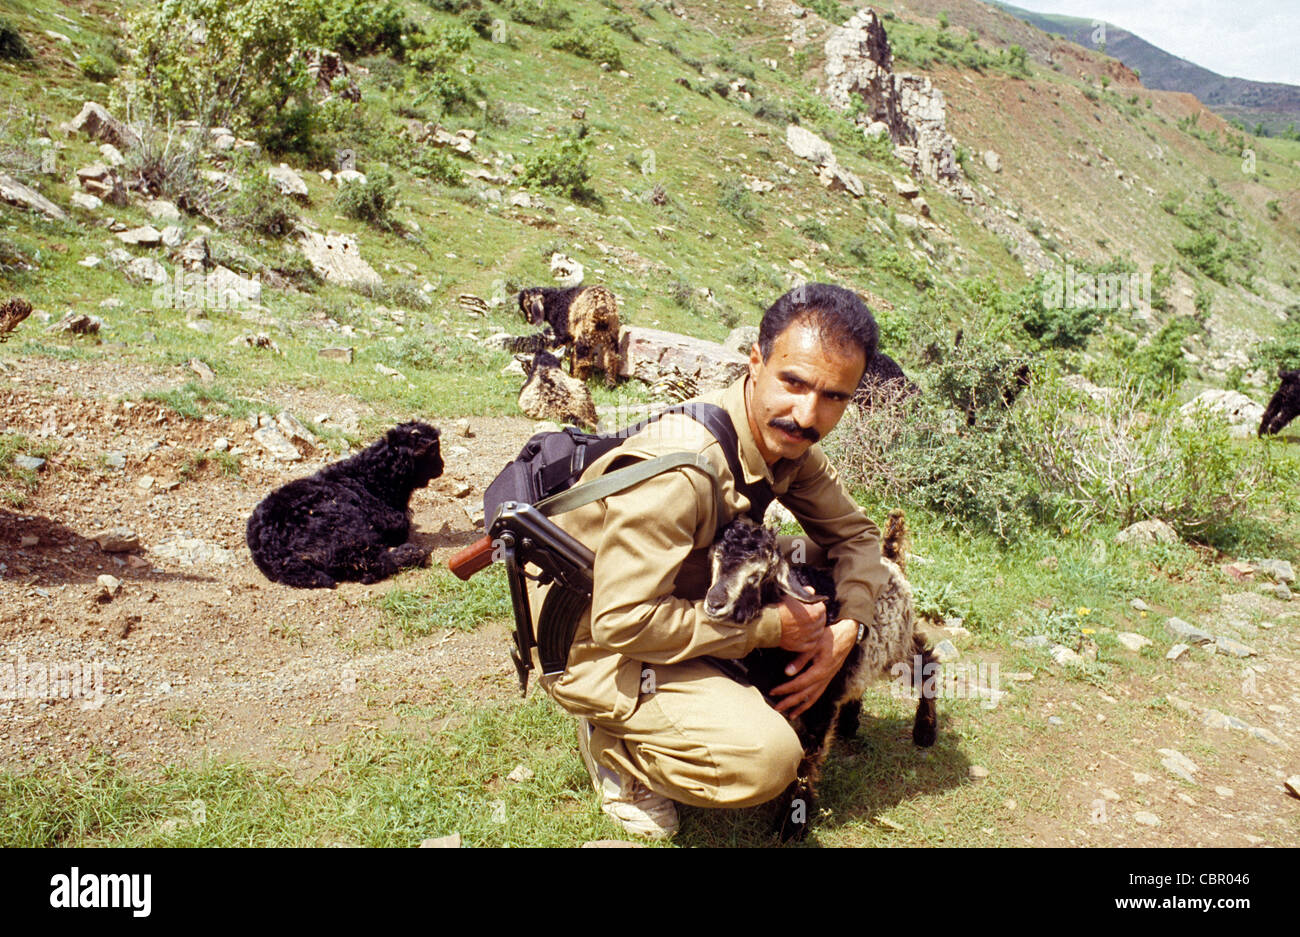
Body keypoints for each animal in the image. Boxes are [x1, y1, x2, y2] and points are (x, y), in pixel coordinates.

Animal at [245, 421, 444, 587]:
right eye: (434, 451)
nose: (442, 467)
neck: (371, 478)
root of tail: (270, 549)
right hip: (343, 531)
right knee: (369, 565)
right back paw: (416, 553)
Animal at [702, 512, 935, 842]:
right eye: (716, 559)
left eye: (758, 576)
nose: (715, 602)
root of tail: (890, 560)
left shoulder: (818, 700)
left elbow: (806, 761)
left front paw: (791, 824)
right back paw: (850, 722)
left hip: (898, 646)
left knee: (928, 664)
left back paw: (925, 731)